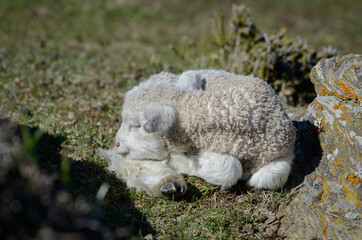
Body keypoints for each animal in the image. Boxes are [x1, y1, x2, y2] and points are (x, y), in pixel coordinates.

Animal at [99, 69, 296, 197]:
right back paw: (166, 183)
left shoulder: (284, 152)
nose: (117, 142)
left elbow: (273, 177)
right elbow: (229, 169)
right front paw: (178, 161)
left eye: (135, 125)